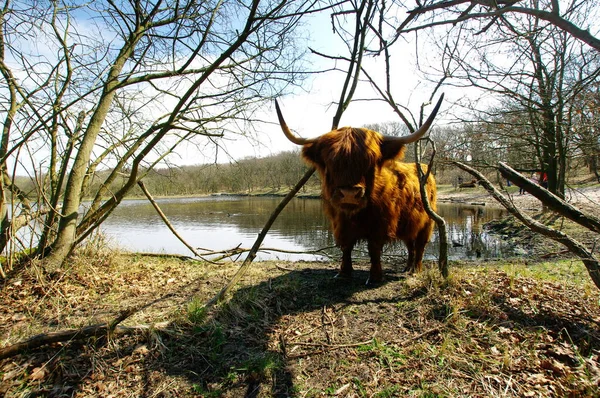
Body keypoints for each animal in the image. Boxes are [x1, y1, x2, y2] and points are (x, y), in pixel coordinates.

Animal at [276, 96, 440, 282]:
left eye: (370, 161)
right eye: (331, 161)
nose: (349, 194)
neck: (356, 214)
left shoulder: (380, 224)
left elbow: (374, 249)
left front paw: (374, 277)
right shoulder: (340, 222)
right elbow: (346, 246)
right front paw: (343, 272)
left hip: (427, 222)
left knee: (419, 246)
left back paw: (415, 270)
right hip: (408, 224)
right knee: (410, 245)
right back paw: (407, 267)